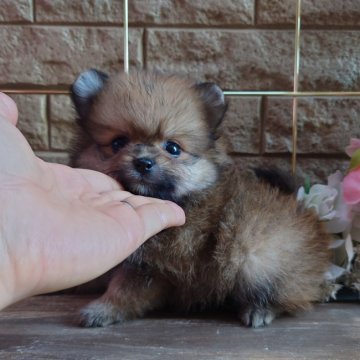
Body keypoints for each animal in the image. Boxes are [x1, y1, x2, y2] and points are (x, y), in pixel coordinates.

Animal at [69, 69, 330, 328]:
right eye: (118, 143)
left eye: (173, 148)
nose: (143, 162)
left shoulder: (151, 265)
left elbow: (123, 291)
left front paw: (101, 310)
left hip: (256, 254)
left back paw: (259, 309)